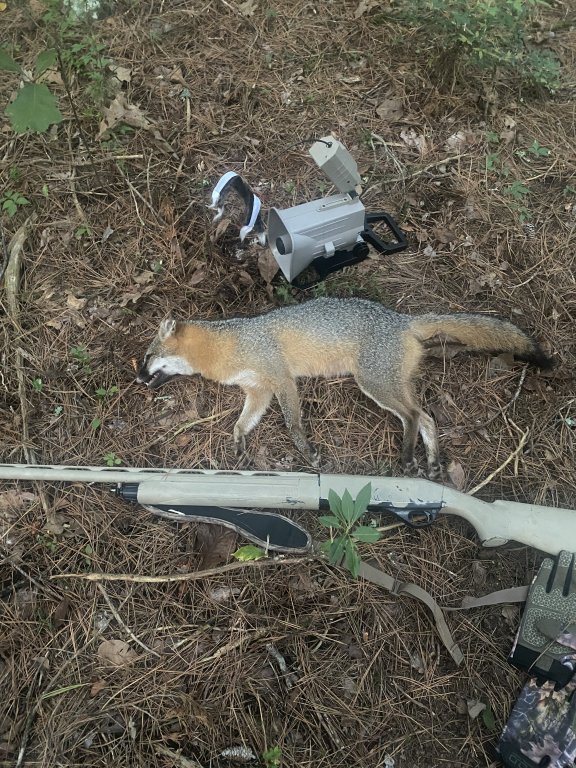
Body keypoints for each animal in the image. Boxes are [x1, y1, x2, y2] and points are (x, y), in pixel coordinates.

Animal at [136, 297, 553, 477]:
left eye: (147, 357)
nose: (138, 379)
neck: (227, 346)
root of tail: (401, 319)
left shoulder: (281, 380)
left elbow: (293, 426)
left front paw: (309, 455)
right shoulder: (259, 390)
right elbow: (241, 424)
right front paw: (239, 445)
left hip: (373, 384)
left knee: (412, 416)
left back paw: (407, 459)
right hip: (390, 383)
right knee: (427, 418)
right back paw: (432, 462)